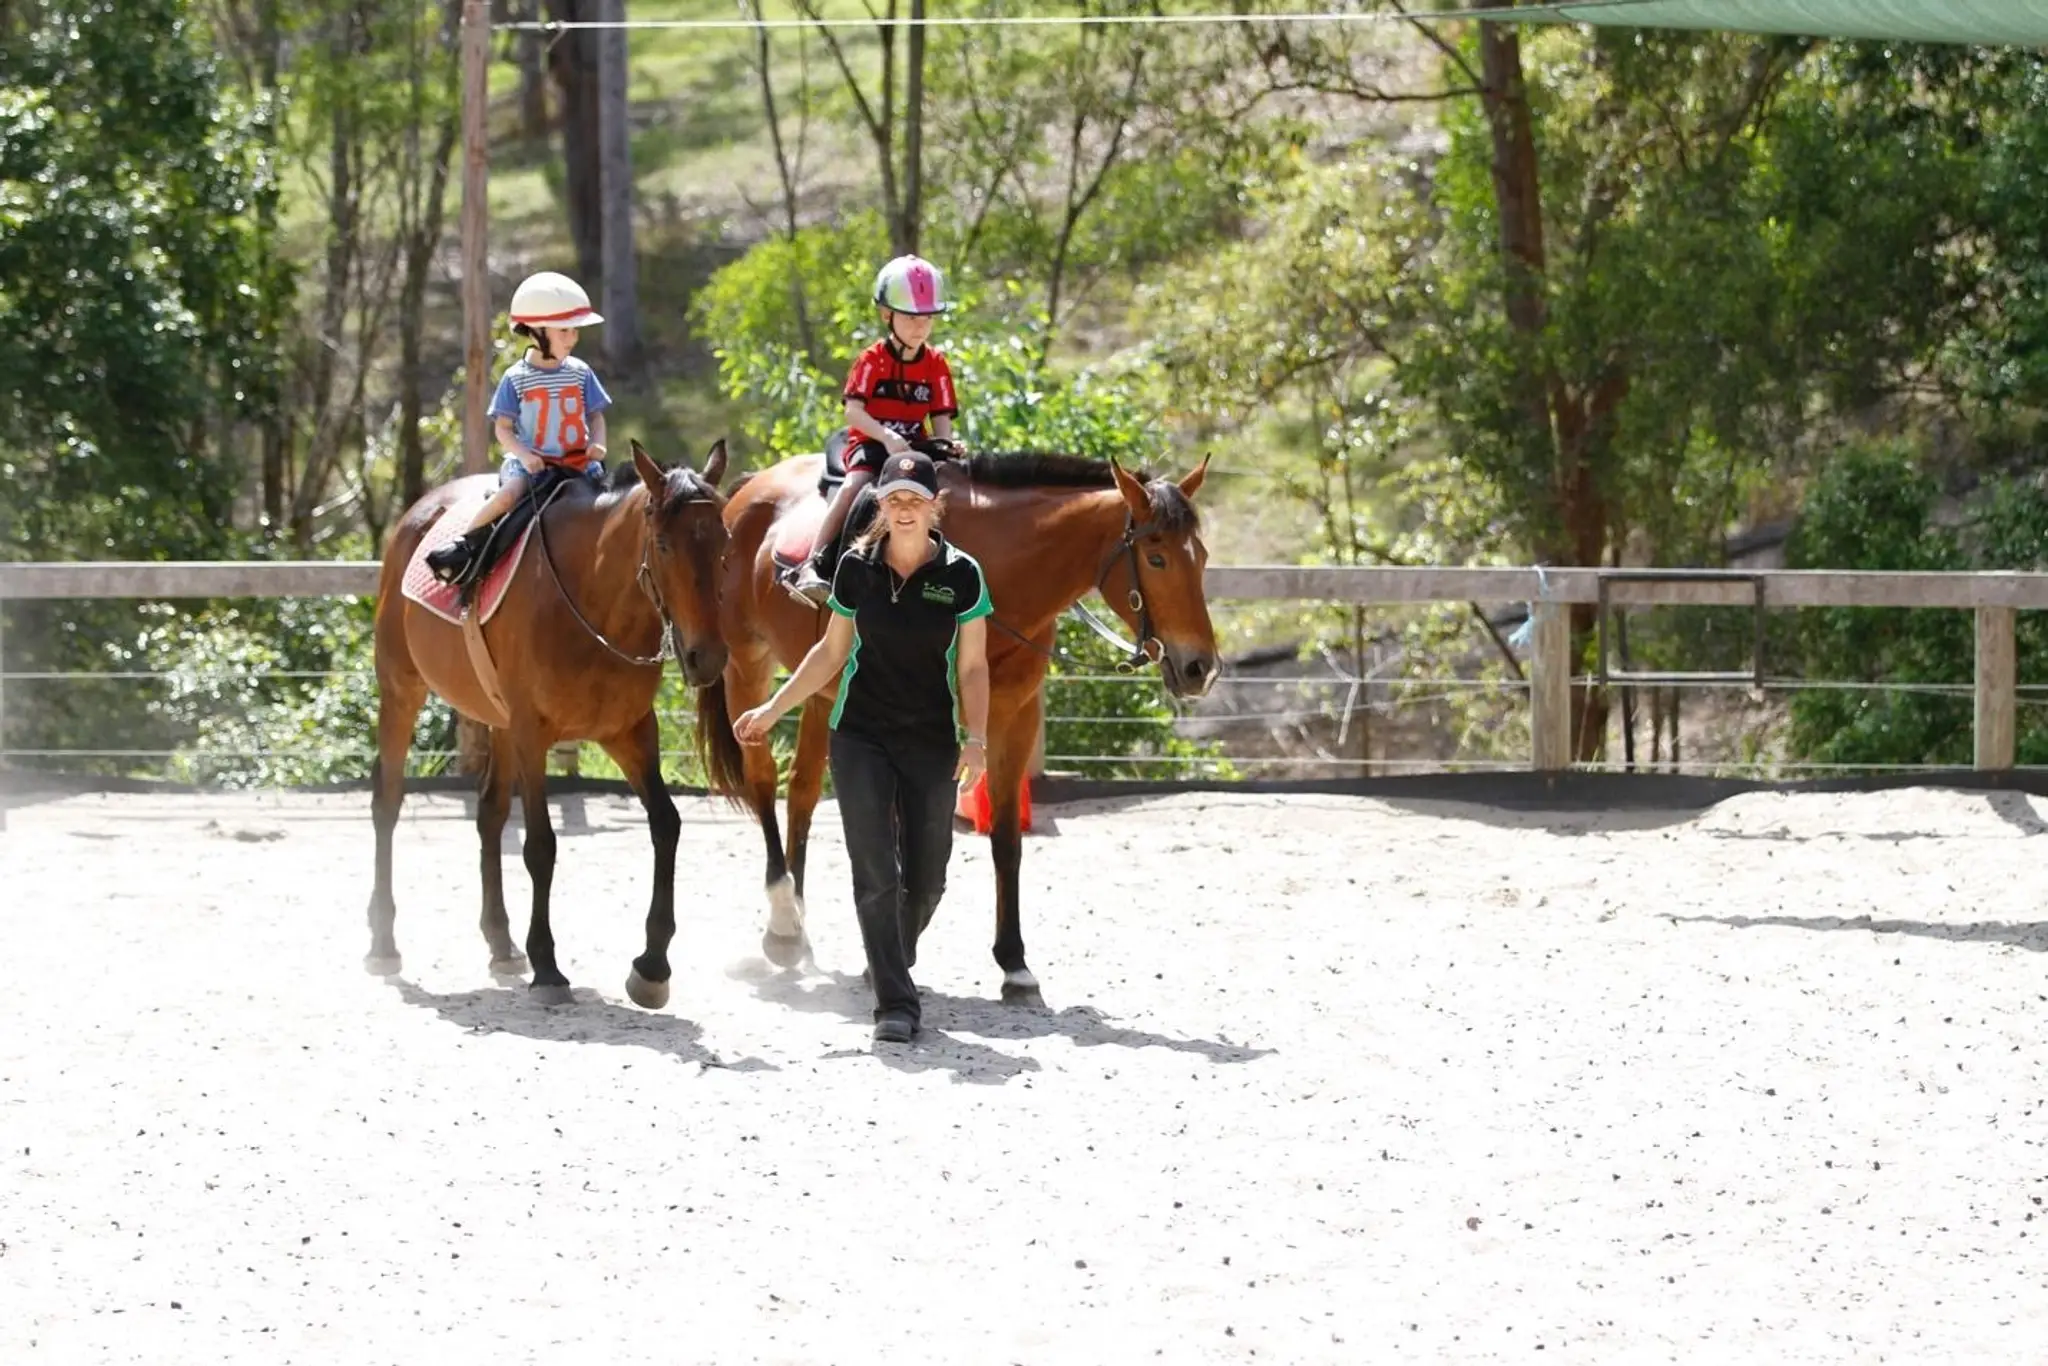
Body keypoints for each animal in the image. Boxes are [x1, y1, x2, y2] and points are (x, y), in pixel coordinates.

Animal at [364, 438, 732, 1009]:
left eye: (724, 542)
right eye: (664, 545)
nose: (705, 657)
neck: (593, 602)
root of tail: (417, 514)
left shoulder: (630, 732)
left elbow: (666, 824)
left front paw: (652, 966)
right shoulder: (532, 733)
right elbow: (541, 846)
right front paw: (548, 964)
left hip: (496, 719)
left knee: (490, 814)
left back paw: (500, 941)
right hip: (402, 692)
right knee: (387, 801)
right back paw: (384, 940)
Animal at [690, 448, 1218, 1003]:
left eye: (1202, 557)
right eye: (1157, 559)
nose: (1200, 668)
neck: (999, 571)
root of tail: (747, 492)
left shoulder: (1012, 716)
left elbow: (1003, 841)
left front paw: (1013, 963)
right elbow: (904, 847)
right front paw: (895, 952)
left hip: (820, 692)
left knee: (802, 793)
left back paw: (798, 923)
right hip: (746, 667)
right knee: (763, 781)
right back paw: (783, 926)